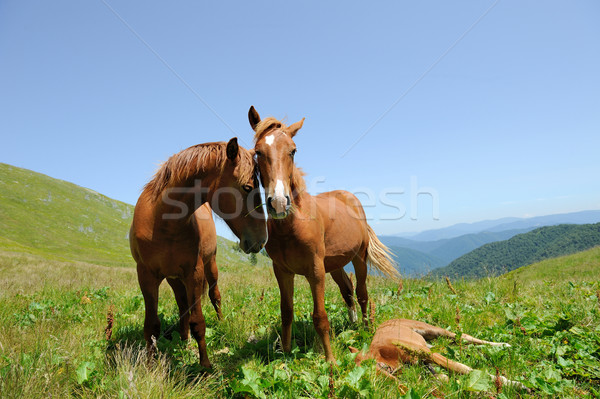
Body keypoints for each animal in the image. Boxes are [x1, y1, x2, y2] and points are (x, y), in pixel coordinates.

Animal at [131, 138, 268, 368]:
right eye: (247, 187)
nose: (262, 239)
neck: (163, 222)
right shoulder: (146, 276)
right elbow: (151, 325)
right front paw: (150, 365)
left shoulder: (193, 273)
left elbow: (198, 322)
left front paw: (205, 366)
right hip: (173, 278)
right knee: (182, 306)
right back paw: (183, 340)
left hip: (209, 267)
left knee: (215, 296)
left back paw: (219, 324)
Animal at [248, 106, 404, 362]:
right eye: (258, 152)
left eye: (293, 150)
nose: (279, 203)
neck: (292, 226)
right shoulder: (282, 271)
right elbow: (286, 311)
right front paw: (286, 353)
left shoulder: (315, 270)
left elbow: (320, 316)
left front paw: (330, 360)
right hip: (335, 265)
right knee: (347, 290)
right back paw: (352, 325)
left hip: (358, 258)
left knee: (361, 293)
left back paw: (366, 328)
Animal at [352, 318, 528, 394]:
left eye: (367, 367)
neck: (385, 353)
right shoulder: (426, 363)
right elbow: (443, 377)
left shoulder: (428, 354)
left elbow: (460, 367)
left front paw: (514, 384)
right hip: (433, 342)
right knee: (461, 344)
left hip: (434, 331)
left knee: (464, 336)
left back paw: (503, 345)